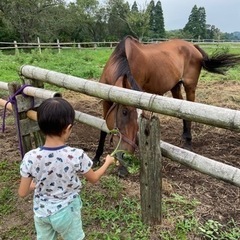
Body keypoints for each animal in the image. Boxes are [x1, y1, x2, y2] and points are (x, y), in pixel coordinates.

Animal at [93, 34, 240, 175]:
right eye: (124, 112)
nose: (126, 156)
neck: (119, 60)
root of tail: (192, 46)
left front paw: (122, 168)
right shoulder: (106, 101)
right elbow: (103, 129)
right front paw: (96, 158)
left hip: (190, 86)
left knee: (190, 109)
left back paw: (188, 142)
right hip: (175, 87)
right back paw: (185, 136)